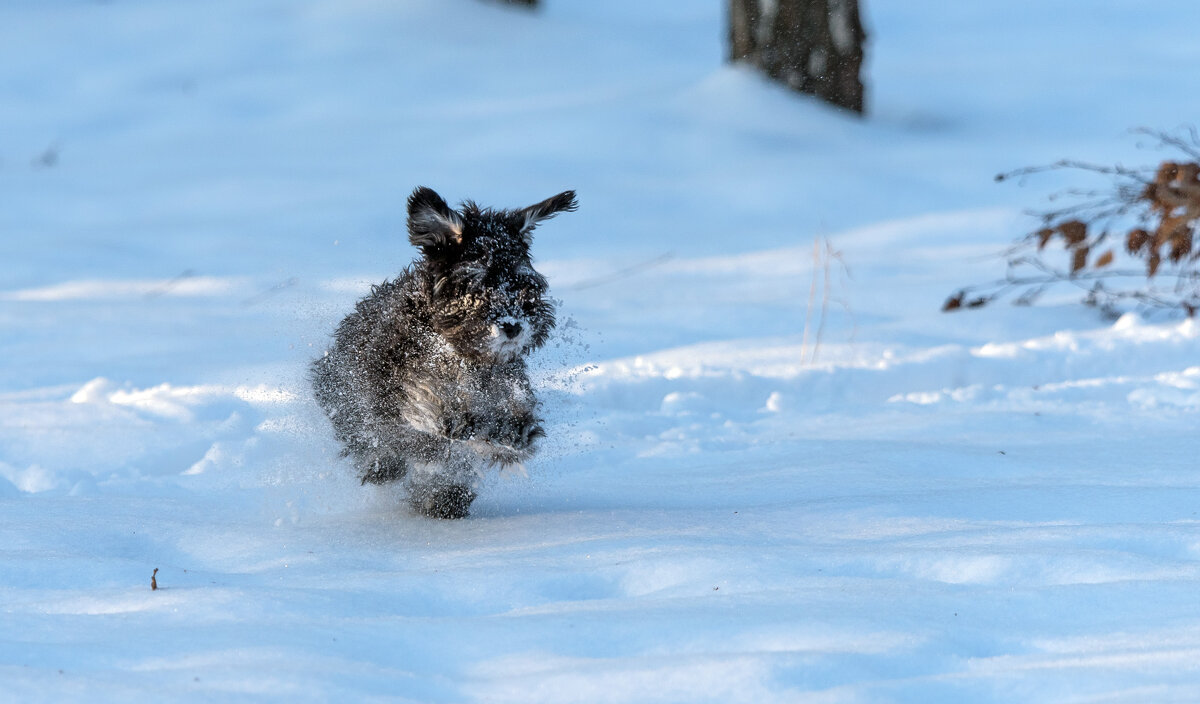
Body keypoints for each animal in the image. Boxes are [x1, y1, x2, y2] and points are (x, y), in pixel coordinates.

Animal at [307, 187, 573, 518]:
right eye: (476, 285)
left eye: (525, 285)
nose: (513, 325)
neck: (458, 353)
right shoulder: (398, 390)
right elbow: (424, 414)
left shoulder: (501, 379)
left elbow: (507, 411)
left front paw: (510, 431)